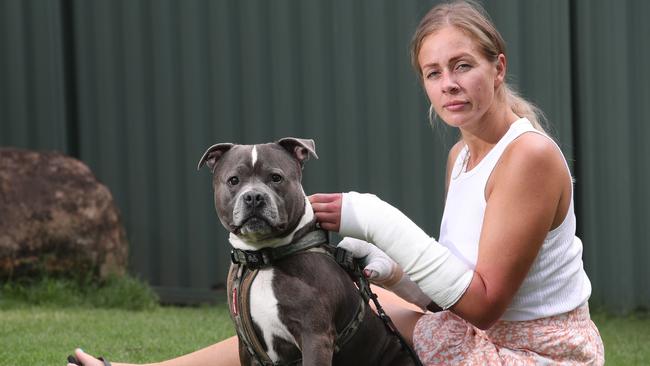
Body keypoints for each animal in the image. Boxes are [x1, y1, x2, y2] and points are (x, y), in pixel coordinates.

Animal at [197, 138, 416, 366]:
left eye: (276, 178)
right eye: (233, 180)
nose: (254, 196)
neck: (263, 259)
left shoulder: (315, 336)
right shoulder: (245, 347)